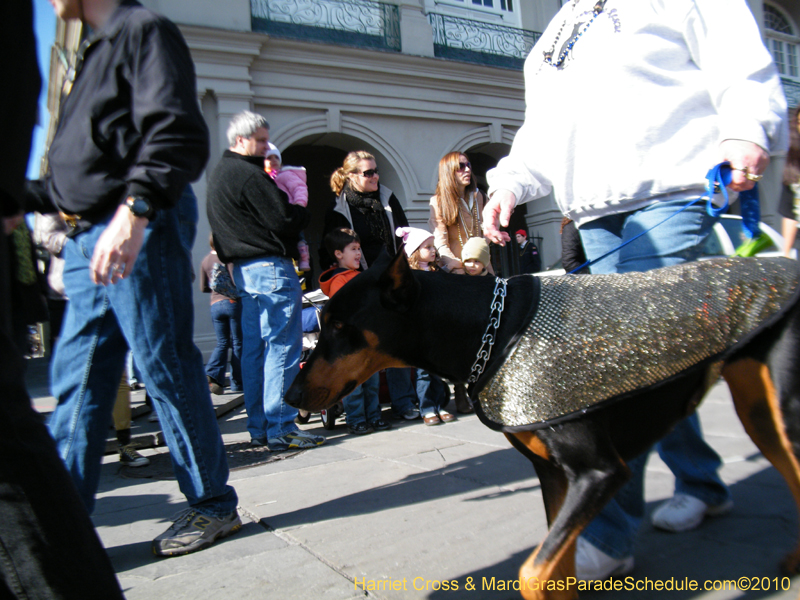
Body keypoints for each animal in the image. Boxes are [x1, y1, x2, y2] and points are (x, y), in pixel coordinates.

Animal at [284, 250, 800, 600]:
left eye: (340, 327)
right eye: (323, 323)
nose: (291, 397)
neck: (491, 330)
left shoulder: (598, 472)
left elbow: (532, 574)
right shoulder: (554, 474)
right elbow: (555, 572)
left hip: (784, 414)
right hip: (760, 413)